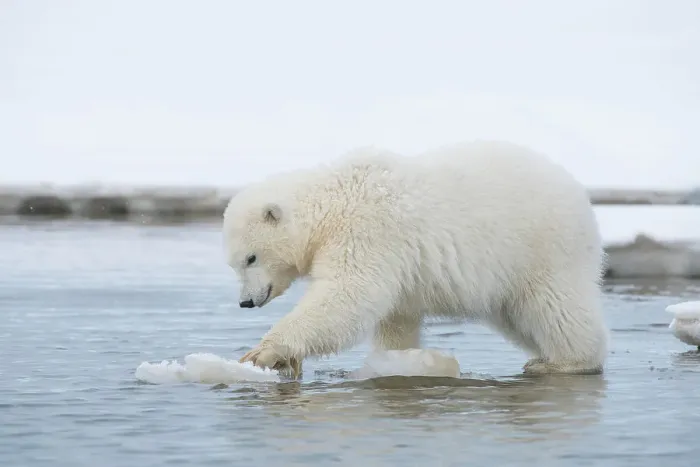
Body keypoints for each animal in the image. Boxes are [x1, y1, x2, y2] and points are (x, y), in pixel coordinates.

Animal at [223, 140, 609, 377]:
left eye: (251, 258)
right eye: (234, 263)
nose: (245, 302)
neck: (332, 201)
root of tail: (580, 196)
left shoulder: (366, 232)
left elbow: (347, 295)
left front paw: (262, 353)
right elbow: (396, 318)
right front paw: (395, 360)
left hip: (541, 249)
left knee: (555, 307)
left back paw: (564, 363)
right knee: (516, 315)